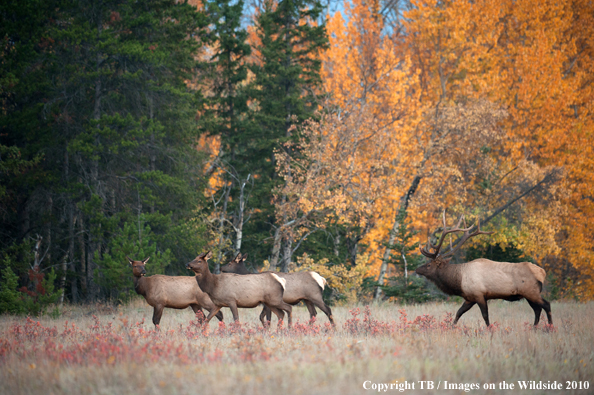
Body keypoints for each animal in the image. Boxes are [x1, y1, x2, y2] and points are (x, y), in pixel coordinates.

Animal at [412, 213, 552, 328]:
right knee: (537, 309)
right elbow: (458, 313)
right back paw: (534, 327)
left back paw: (550, 327)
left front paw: (489, 330)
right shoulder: (469, 297)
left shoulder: (479, 294)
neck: (459, 281)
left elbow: (485, 316)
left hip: (531, 292)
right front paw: (451, 327)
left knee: (546, 305)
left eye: (429, 265)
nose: (417, 269)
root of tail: (542, 273)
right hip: (529, 294)